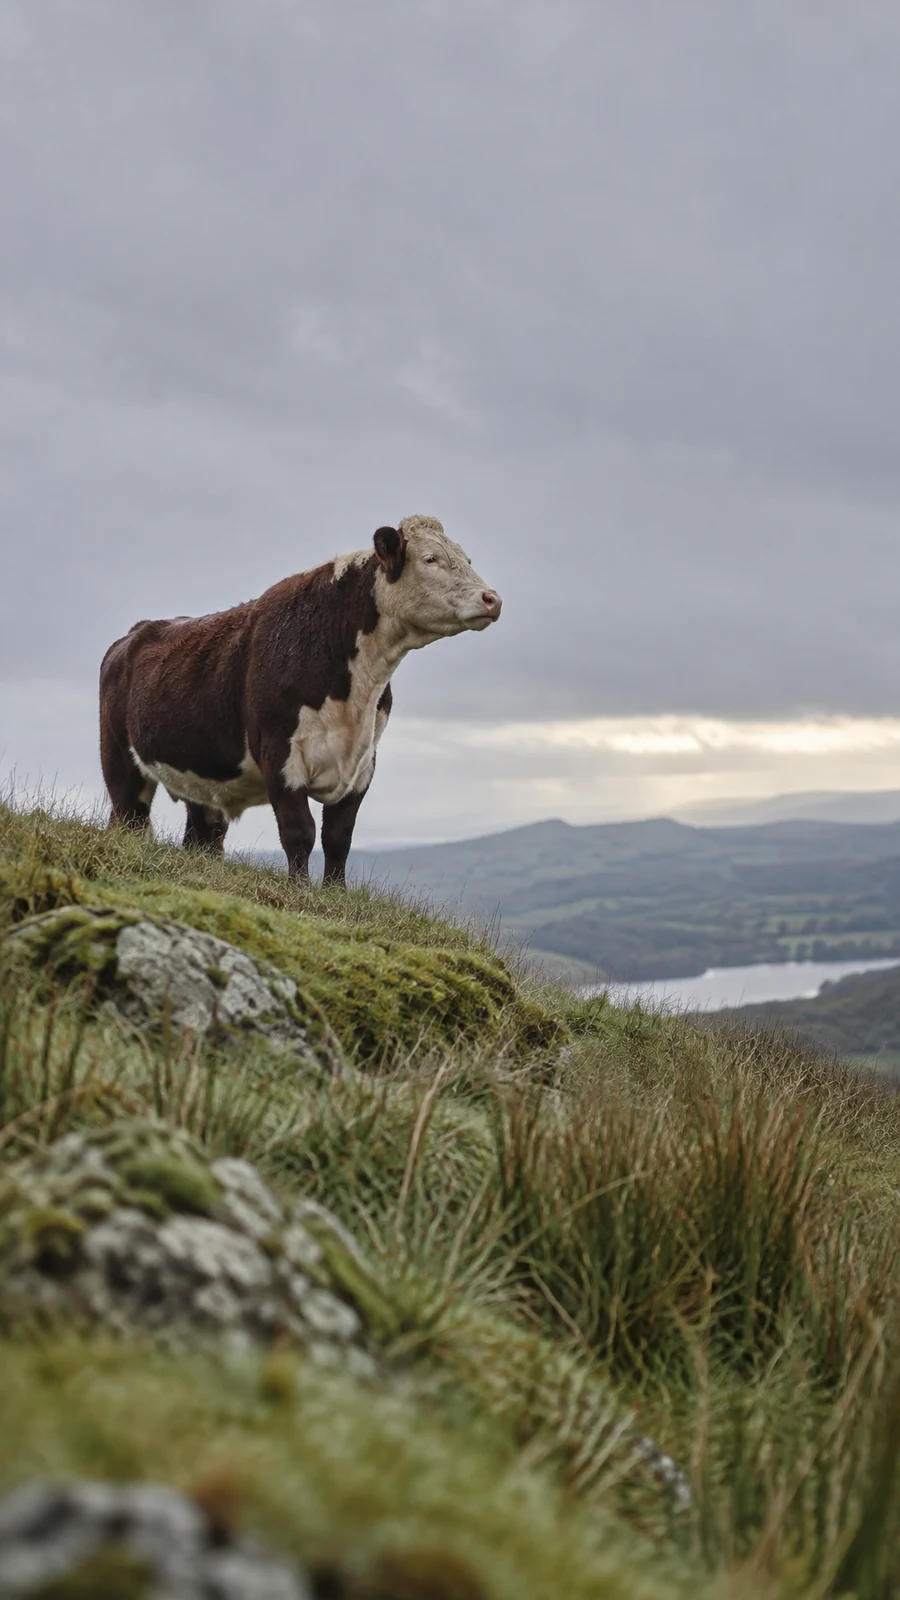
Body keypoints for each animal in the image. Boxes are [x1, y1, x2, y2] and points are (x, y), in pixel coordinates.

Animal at [99, 515, 502, 885]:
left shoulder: (364, 761)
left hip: (202, 777)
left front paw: (336, 891)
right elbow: (299, 831)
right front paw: (300, 889)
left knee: (203, 836)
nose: (492, 599)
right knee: (128, 817)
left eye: (467, 558)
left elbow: (339, 835)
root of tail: (135, 633)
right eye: (431, 559)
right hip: (120, 760)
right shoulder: (279, 750)